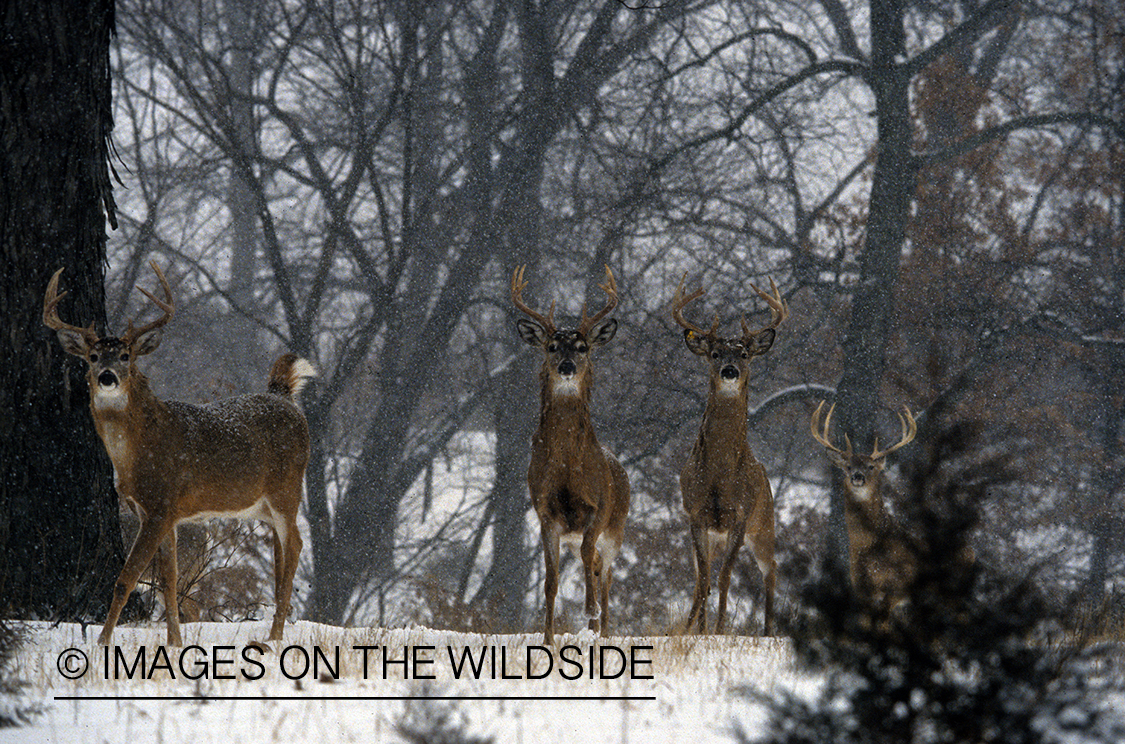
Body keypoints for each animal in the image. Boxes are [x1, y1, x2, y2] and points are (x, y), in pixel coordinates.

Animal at [43, 261, 314, 647]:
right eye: (93, 357)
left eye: (125, 356)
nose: (107, 377)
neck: (138, 453)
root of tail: (285, 396)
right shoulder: (159, 512)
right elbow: (169, 581)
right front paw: (174, 642)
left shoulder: (160, 505)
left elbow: (126, 579)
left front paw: (102, 642)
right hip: (261, 504)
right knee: (281, 551)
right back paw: (276, 628)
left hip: (287, 488)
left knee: (295, 547)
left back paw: (274, 638)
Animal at [512, 264, 631, 644]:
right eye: (551, 346)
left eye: (582, 346)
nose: (566, 366)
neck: (567, 468)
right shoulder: (545, 513)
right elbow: (551, 581)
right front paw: (548, 639)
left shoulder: (598, 508)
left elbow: (587, 558)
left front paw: (589, 610)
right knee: (592, 567)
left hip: (617, 529)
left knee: (603, 574)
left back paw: (601, 628)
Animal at [671, 274, 786, 636]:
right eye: (714, 353)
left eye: (745, 353)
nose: (730, 371)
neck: (720, 474)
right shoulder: (696, 514)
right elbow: (705, 579)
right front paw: (699, 631)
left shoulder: (740, 515)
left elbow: (723, 577)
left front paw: (720, 630)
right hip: (715, 534)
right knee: (700, 577)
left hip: (764, 524)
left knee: (771, 567)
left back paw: (768, 631)